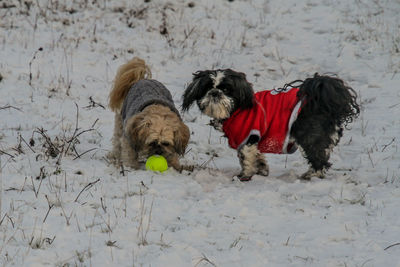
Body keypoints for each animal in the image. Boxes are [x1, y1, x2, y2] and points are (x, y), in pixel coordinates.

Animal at [181, 70, 360, 181]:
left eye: (226, 89)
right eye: (207, 88)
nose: (215, 93)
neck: (237, 110)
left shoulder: (248, 138)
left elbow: (245, 159)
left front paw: (244, 175)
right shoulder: (254, 140)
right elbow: (258, 156)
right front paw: (261, 169)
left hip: (310, 136)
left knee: (319, 158)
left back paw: (311, 175)